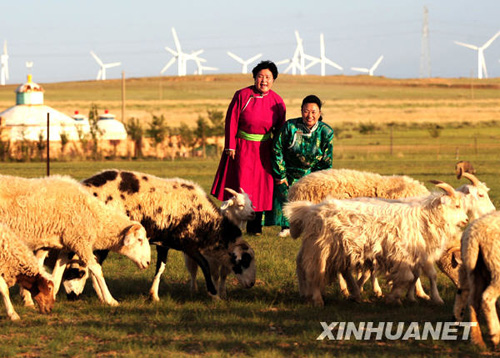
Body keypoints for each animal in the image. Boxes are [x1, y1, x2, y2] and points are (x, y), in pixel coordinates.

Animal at [0, 175, 150, 306]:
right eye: (140, 239)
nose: (148, 263)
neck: (95, 218)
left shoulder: (66, 245)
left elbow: (56, 274)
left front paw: (48, 296)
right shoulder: (80, 242)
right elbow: (97, 269)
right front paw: (111, 300)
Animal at [63, 171, 256, 302]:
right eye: (245, 261)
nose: (252, 284)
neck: (208, 223)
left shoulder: (165, 243)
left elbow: (160, 267)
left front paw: (154, 295)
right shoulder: (188, 244)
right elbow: (205, 265)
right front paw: (214, 294)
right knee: (91, 264)